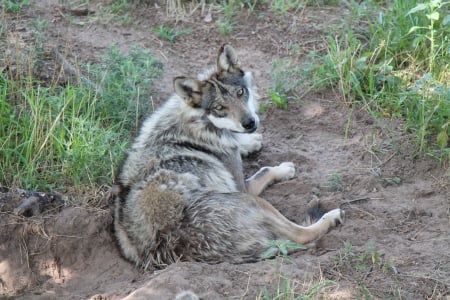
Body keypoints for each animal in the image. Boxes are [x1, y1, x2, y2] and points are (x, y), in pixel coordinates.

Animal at [113, 44, 344, 270]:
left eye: (240, 92)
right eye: (220, 108)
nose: (250, 123)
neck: (198, 123)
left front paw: (250, 142)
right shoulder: (243, 187)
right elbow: (264, 170)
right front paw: (283, 168)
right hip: (252, 201)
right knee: (301, 235)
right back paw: (331, 217)